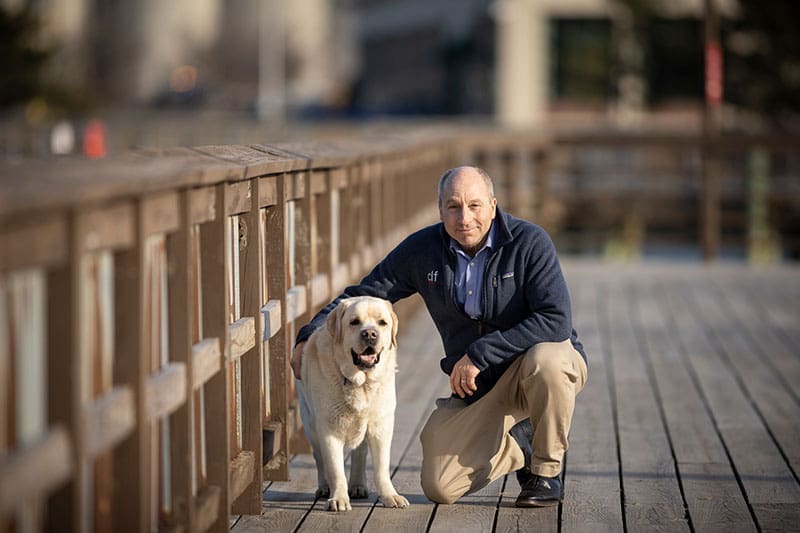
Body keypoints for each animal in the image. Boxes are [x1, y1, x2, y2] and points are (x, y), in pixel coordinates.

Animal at [302, 296, 412, 512]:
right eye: (354, 322)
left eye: (382, 323)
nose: (369, 334)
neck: (361, 383)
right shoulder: (328, 430)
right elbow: (335, 469)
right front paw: (338, 499)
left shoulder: (381, 426)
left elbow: (381, 467)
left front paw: (390, 496)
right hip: (311, 425)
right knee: (320, 458)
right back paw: (325, 487)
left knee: (360, 453)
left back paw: (358, 486)